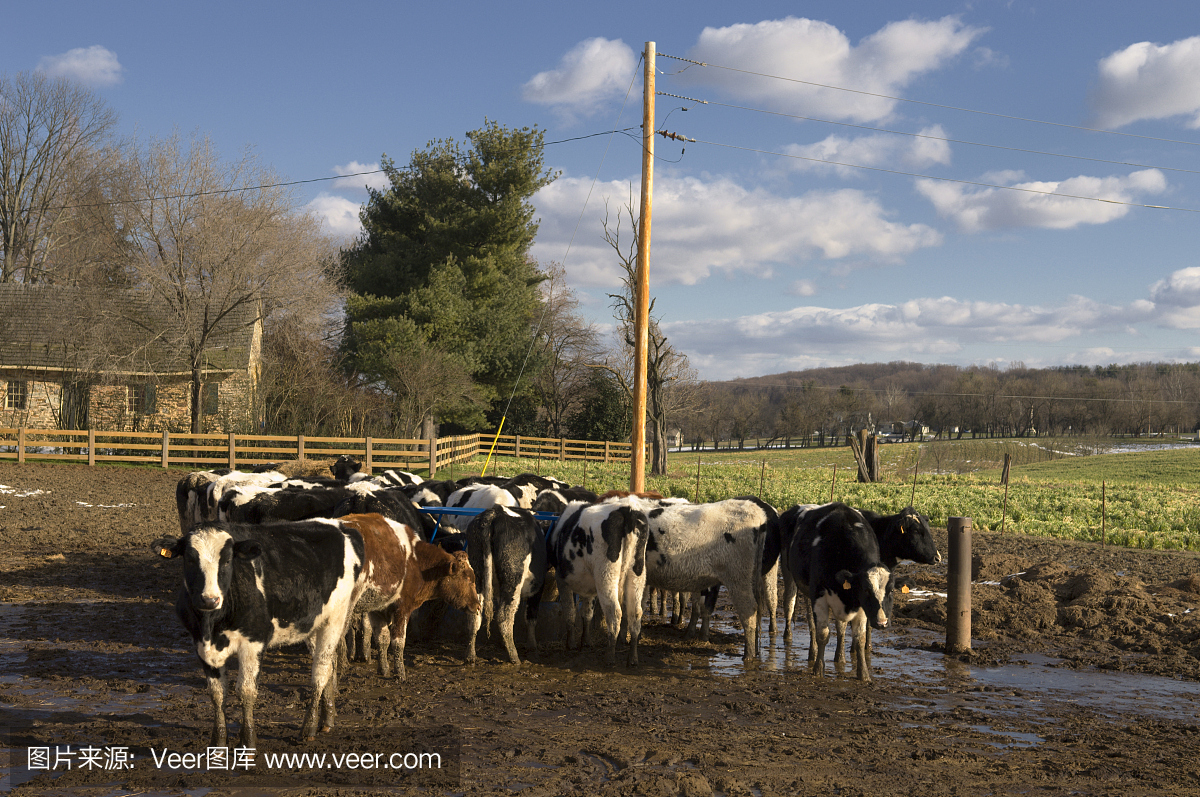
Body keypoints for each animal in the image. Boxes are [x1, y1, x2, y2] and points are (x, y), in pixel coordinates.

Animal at [152, 520, 364, 744]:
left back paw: (309, 727)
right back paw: (327, 720)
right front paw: (218, 742)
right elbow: (217, 694)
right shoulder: (201, 645)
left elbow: (246, 691)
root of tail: (339, 526)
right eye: (190, 559)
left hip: (336, 620)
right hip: (314, 625)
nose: (210, 600)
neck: (211, 625)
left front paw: (248, 741)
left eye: (227, 560)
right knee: (329, 668)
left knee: (320, 673)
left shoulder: (253, 642)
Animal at [336, 516, 480, 676]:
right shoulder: (402, 608)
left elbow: (382, 639)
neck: (415, 564)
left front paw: (384, 669)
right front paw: (400, 673)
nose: (478, 605)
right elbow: (398, 642)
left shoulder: (377, 610)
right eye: (468, 579)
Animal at [463, 504, 549, 667]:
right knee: (504, 616)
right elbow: (531, 617)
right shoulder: (537, 588)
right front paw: (532, 646)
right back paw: (514, 657)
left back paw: (471, 656)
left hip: (477, 573)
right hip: (512, 579)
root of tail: (495, 512)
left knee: (474, 615)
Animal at [549, 499, 652, 667]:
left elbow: (570, 611)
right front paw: (586, 641)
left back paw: (609, 657)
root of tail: (627, 510)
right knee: (635, 613)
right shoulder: (588, 587)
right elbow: (587, 612)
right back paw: (632, 658)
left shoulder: (561, 578)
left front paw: (571, 644)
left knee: (614, 612)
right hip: (636, 575)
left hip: (606, 576)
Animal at [782, 504, 897, 686]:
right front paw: (818, 670)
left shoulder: (860, 605)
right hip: (791, 576)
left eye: (891, 590)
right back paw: (812, 653)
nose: (882, 622)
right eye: (866, 589)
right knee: (796, 609)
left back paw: (836, 657)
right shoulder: (819, 596)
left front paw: (864, 674)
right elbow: (823, 634)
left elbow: (859, 638)